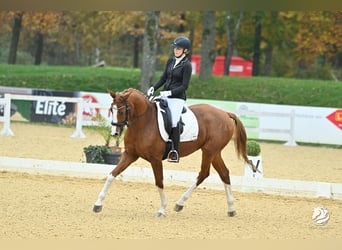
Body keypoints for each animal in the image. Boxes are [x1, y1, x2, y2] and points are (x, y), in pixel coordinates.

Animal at [92, 88, 252, 217]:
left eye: (121, 110)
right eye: (111, 109)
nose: (114, 133)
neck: (143, 122)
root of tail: (225, 113)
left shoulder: (155, 159)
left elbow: (159, 182)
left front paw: (162, 209)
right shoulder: (130, 155)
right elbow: (112, 175)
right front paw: (98, 204)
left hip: (209, 151)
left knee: (203, 174)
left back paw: (180, 203)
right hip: (214, 152)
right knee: (223, 173)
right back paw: (230, 208)